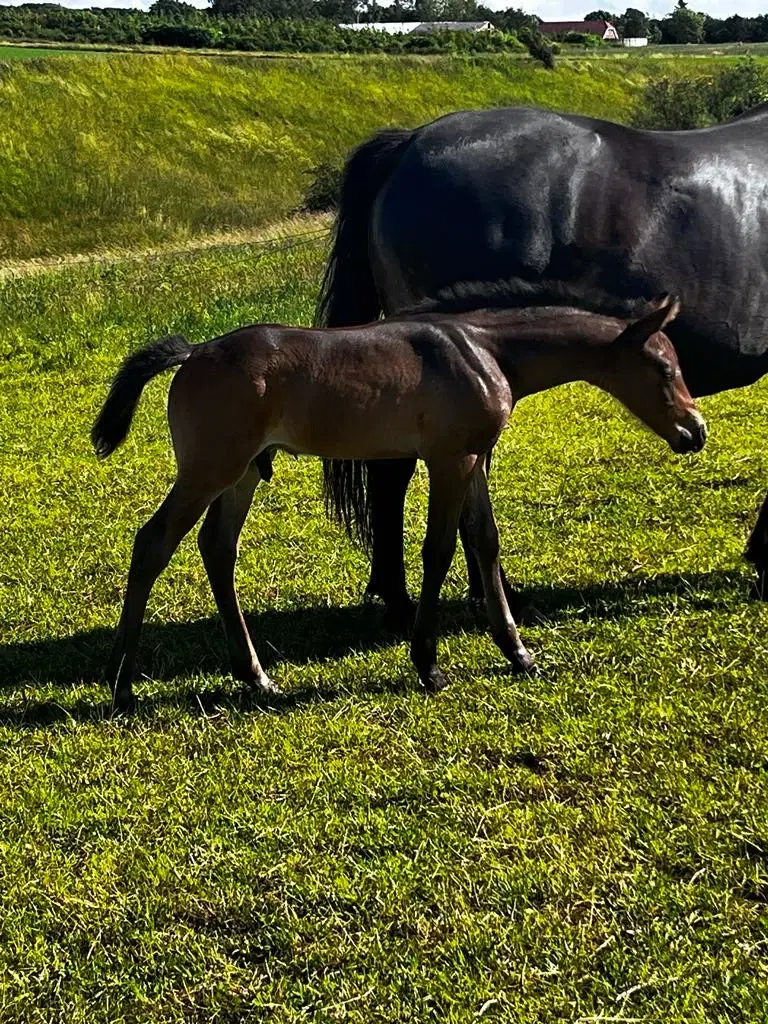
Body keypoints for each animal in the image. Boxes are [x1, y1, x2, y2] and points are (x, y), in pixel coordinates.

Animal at [91, 296, 708, 708]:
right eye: (664, 367)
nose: (695, 430)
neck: (484, 351)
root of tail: (193, 353)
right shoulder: (449, 459)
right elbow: (439, 550)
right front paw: (428, 664)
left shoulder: (474, 458)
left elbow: (485, 544)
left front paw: (518, 652)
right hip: (210, 470)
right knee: (153, 542)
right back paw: (122, 680)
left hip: (242, 474)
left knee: (216, 548)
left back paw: (256, 676)